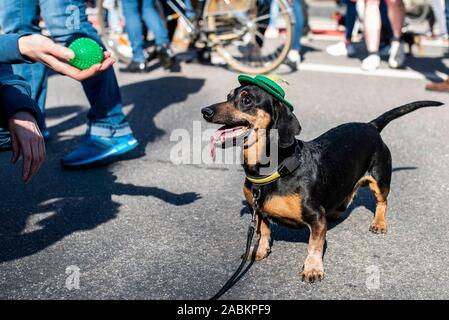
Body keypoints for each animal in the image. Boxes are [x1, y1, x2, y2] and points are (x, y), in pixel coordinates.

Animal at [201, 77, 442, 282]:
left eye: (246, 100)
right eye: (228, 95)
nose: (205, 111)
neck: (272, 169)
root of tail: (371, 126)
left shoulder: (316, 217)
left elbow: (314, 245)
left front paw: (313, 268)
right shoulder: (257, 209)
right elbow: (264, 230)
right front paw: (258, 251)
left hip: (380, 179)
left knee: (383, 201)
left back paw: (379, 223)